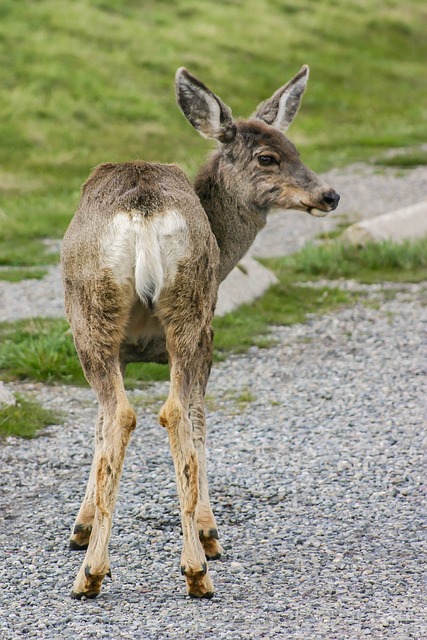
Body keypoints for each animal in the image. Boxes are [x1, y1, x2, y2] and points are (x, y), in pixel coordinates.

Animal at [61, 65, 339, 601]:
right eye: (269, 156)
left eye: (296, 149)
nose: (329, 195)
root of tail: (144, 208)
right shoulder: (205, 334)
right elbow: (186, 419)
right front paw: (209, 531)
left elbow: (114, 424)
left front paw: (83, 527)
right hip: (178, 312)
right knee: (162, 413)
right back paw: (182, 567)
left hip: (105, 313)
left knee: (140, 413)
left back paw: (111, 572)